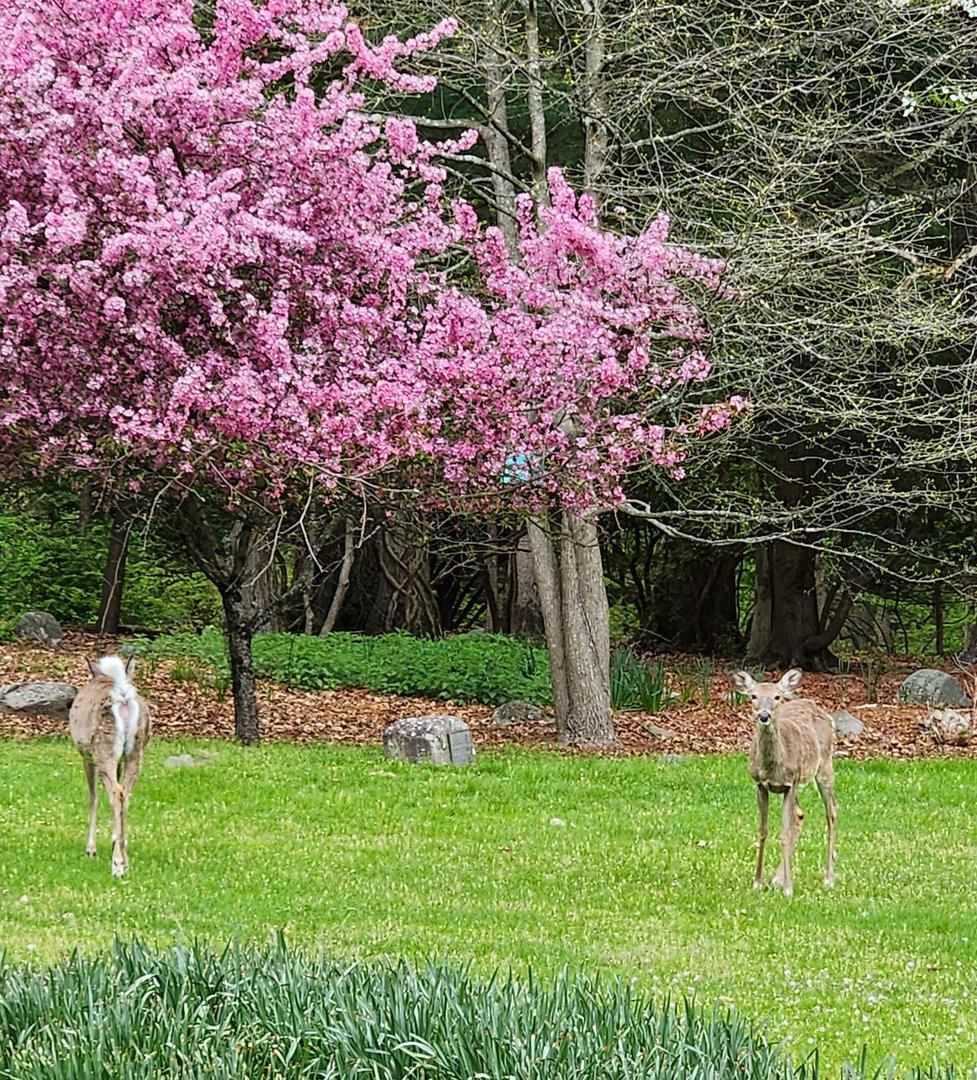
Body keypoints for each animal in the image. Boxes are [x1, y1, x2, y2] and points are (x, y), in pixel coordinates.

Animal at [68, 656, 151, 877]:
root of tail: (122, 695)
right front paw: (115, 841)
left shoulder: (86, 754)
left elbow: (93, 797)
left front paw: (91, 849)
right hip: (135, 749)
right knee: (125, 796)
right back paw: (124, 859)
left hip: (103, 748)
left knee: (115, 793)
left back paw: (117, 864)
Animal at [730, 668, 837, 898]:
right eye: (753, 696)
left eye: (777, 697)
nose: (764, 716)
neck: (773, 767)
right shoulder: (760, 785)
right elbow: (763, 831)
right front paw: (758, 882)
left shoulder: (791, 783)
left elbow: (784, 834)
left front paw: (789, 889)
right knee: (800, 815)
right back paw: (778, 877)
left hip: (824, 764)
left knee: (832, 811)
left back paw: (829, 878)